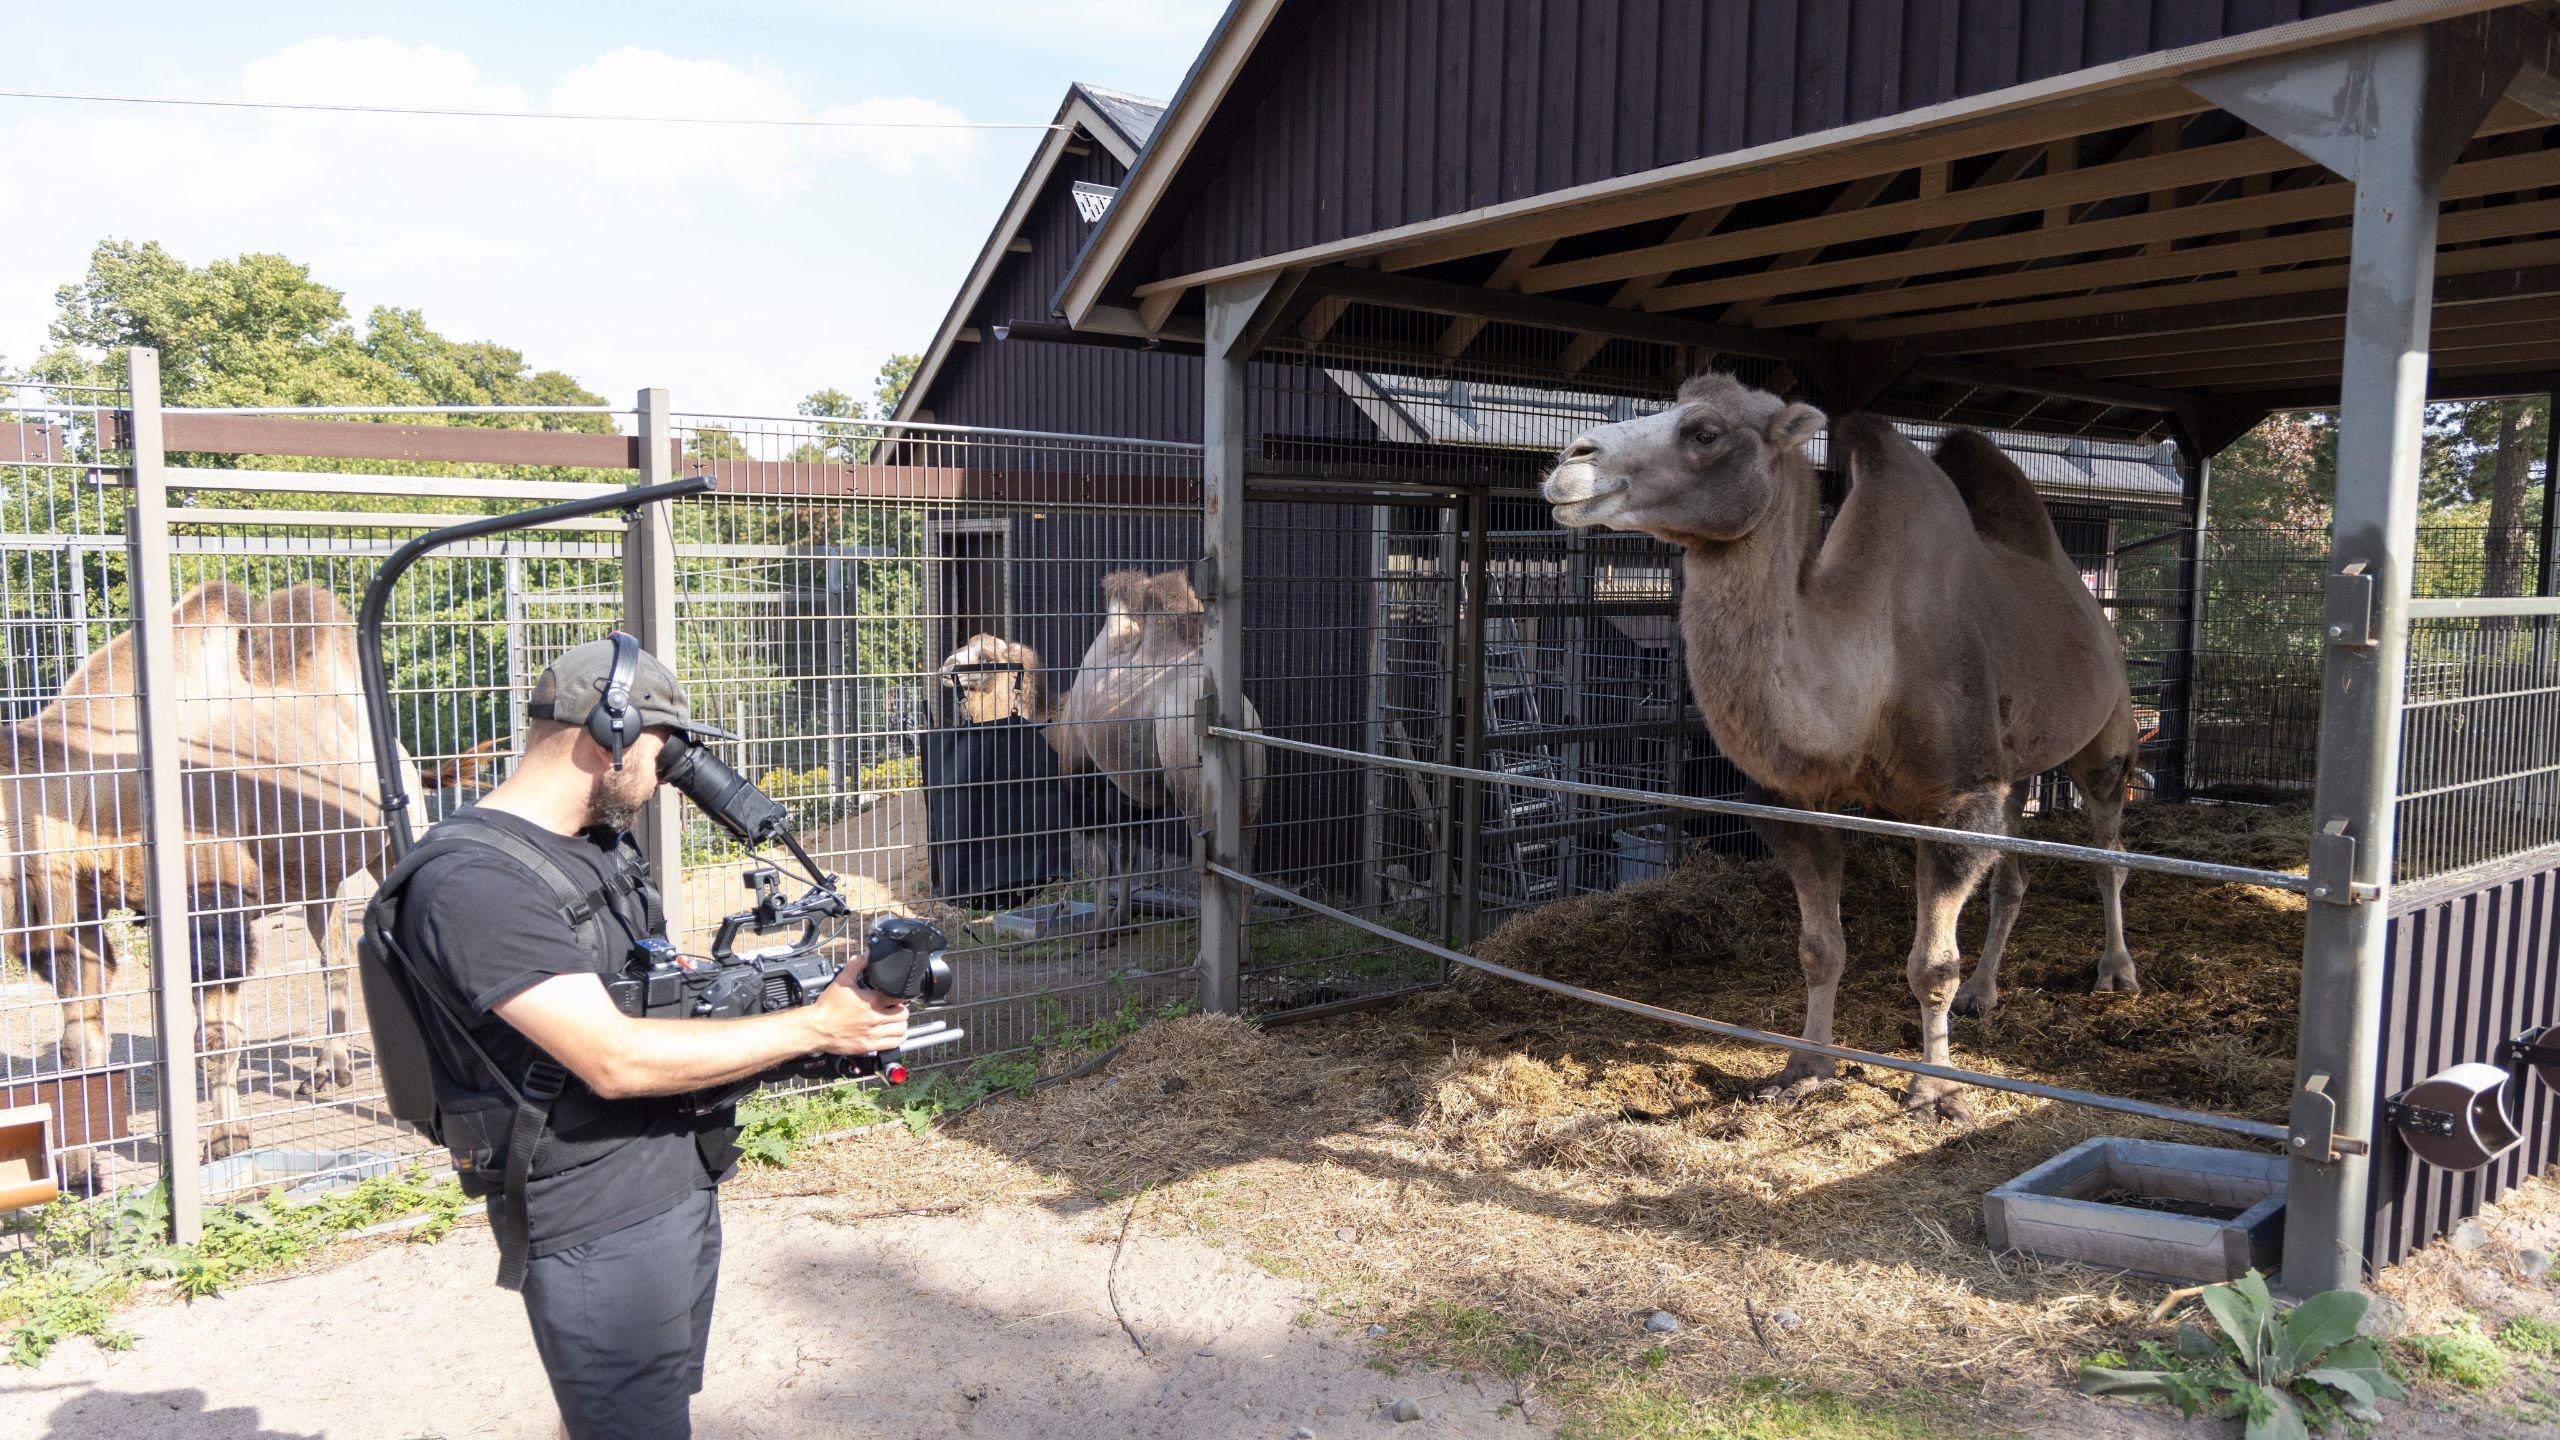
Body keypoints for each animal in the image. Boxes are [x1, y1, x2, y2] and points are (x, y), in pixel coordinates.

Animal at [3, 576, 419, 1183]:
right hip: (314, 873)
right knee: (334, 957)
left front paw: (228, 1141)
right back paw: (327, 1069)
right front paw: (80, 1173)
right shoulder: (78, 912)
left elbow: (217, 1039)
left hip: (393, 833)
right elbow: (77, 1045)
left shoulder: (212, 904)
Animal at [1049, 571, 1269, 932]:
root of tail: (1241, 718)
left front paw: (1100, 930)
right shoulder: (1133, 794)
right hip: (1253, 777)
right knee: (1246, 863)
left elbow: (1102, 862)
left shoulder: (1083, 777)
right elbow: (1127, 855)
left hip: (1190, 779)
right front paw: (1120, 921)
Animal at [1536, 376, 2140, 1117]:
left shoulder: (1956, 801)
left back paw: (2115, 972)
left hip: (2106, 731)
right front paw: (1805, 1067)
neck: (1870, 672)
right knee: (2014, 874)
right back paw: (1984, 994)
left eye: (1705, 432)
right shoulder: (1799, 805)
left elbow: (1931, 965)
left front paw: (1935, 1091)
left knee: (2109, 851)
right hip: (2016, 765)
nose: (1570, 460)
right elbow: (1819, 948)